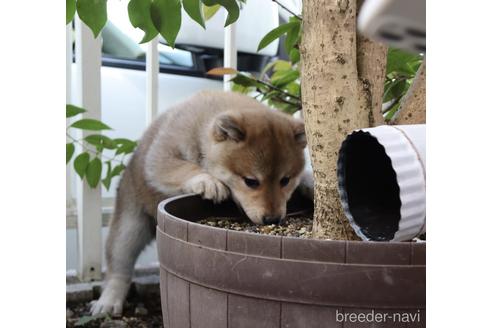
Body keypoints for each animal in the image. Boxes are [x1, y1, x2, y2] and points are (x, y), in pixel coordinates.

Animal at [92, 90, 306, 316]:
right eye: (251, 181)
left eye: (285, 180)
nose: (272, 218)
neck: (202, 126)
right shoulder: (161, 158)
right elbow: (184, 168)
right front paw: (208, 181)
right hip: (129, 226)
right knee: (119, 268)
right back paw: (109, 301)